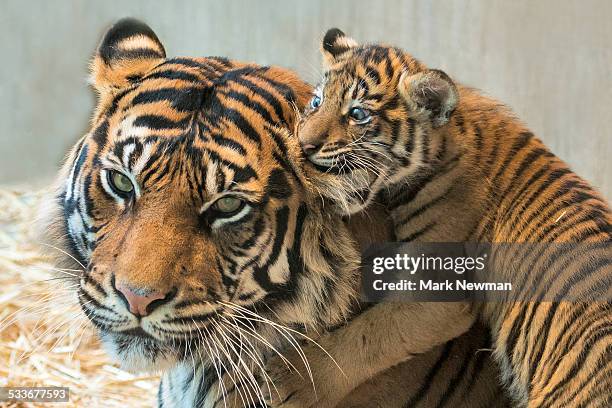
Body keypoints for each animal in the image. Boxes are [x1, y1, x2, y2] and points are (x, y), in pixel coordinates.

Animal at [292, 27, 612, 404]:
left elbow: (367, 335)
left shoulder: (437, 292)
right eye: (317, 102)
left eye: (357, 114)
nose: (304, 145)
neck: (444, 139)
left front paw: (292, 380)